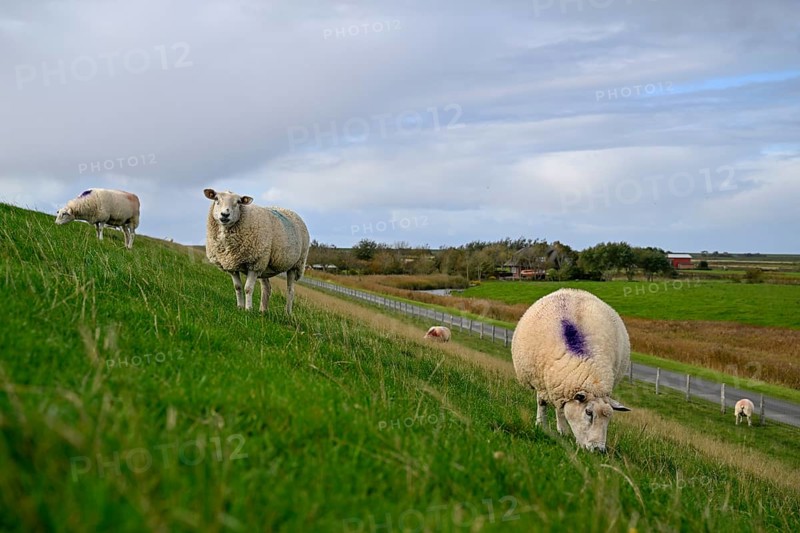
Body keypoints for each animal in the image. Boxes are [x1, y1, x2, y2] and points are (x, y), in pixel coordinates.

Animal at [511, 288, 631, 452]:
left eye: (609, 418)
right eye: (588, 412)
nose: (598, 450)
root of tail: (572, 290)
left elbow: (561, 410)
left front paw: (563, 432)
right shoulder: (541, 382)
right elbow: (543, 403)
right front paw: (542, 425)